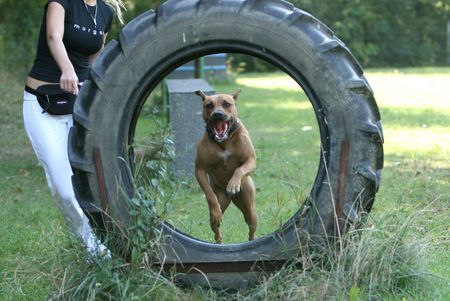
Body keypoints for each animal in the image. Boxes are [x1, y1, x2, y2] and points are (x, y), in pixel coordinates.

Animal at [193, 88, 256, 243]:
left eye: (227, 104)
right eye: (209, 105)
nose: (217, 114)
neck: (225, 140)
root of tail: (231, 199)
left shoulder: (251, 160)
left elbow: (240, 169)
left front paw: (233, 184)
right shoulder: (199, 169)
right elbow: (210, 195)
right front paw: (215, 209)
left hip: (250, 208)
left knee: (251, 227)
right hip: (221, 200)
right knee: (216, 229)